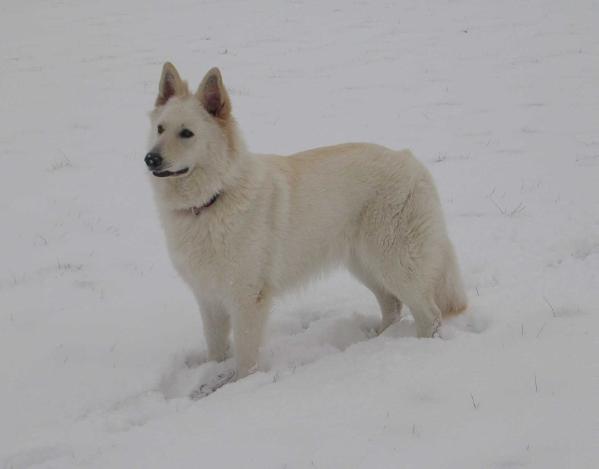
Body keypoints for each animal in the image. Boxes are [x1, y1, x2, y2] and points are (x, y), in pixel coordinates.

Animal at [146, 62, 468, 380]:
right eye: (160, 129)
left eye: (187, 133)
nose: (150, 159)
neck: (212, 198)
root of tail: (410, 160)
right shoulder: (208, 298)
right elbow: (215, 349)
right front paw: (212, 375)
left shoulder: (247, 299)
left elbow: (246, 360)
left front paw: (242, 386)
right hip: (365, 265)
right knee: (392, 305)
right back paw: (376, 341)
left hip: (396, 264)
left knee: (430, 314)